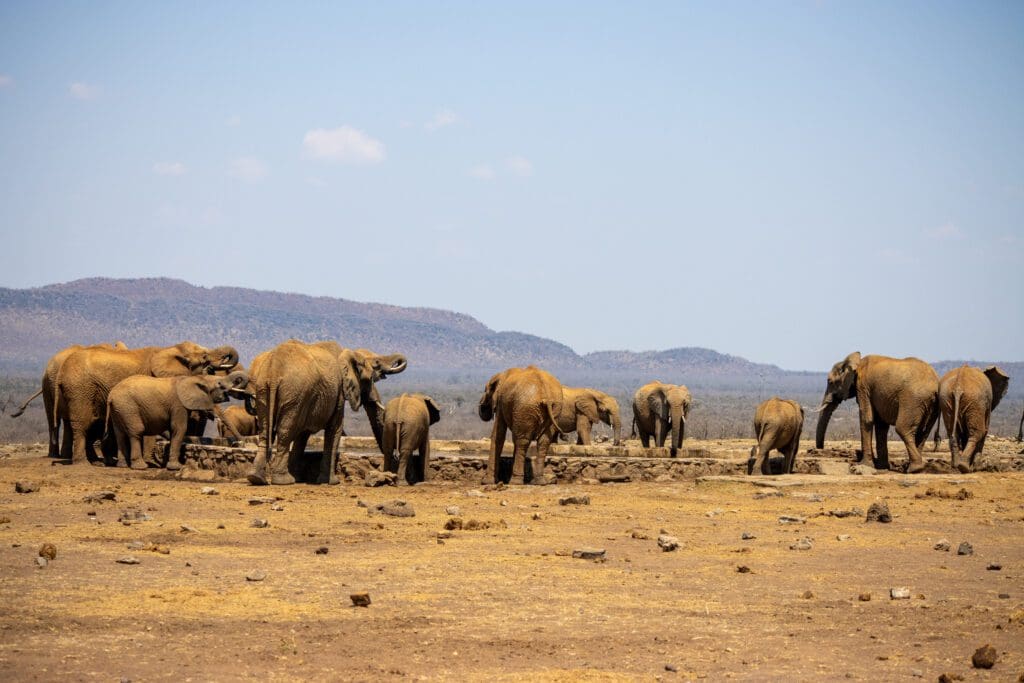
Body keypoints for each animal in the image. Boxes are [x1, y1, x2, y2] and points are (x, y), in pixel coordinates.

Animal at [55, 342, 239, 465]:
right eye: (204, 357)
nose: (238, 442)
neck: (172, 349)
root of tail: (61, 372)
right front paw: (151, 462)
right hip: (80, 389)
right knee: (82, 423)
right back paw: (84, 462)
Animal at [105, 371, 250, 469]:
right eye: (220, 385)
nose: (240, 444)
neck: (195, 378)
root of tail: (111, 396)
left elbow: (173, 430)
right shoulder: (178, 405)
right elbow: (179, 428)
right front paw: (176, 467)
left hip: (119, 409)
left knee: (119, 434)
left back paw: (123, 465)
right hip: (128, 407)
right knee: (136, 431)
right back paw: (140, 467)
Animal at [247, 340, 407, 486]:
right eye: (375, 368)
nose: (395, 458)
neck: (349, 353)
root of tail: (274, 370)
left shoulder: (309, 400)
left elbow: (302, 434)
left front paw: (298, 477)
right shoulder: (338, 392)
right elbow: (334, 429)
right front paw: (332, 482)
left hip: (263, 391)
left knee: (265, 431)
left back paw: (257, 478)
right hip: (294, 392)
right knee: (286, 432)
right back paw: (283, 481)